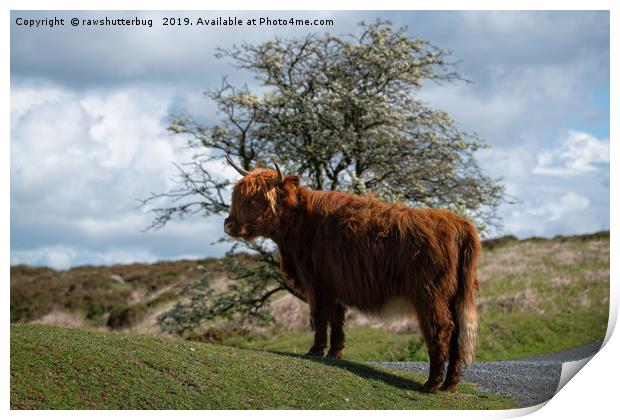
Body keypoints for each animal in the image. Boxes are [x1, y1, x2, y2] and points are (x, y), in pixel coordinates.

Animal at [223, 156, 480, 392]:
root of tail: (458, 223)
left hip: (430, 294)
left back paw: (431, 383)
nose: (228, 225)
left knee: (442, 329)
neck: (301, 223)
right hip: (454, 295)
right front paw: (335, 353)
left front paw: (315, 351)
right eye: (238, 197)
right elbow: (336, 319)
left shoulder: (316, 281)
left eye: (256, 199)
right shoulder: (334, 284)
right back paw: (449, 384)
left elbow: (319, 317)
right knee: (457, 333)